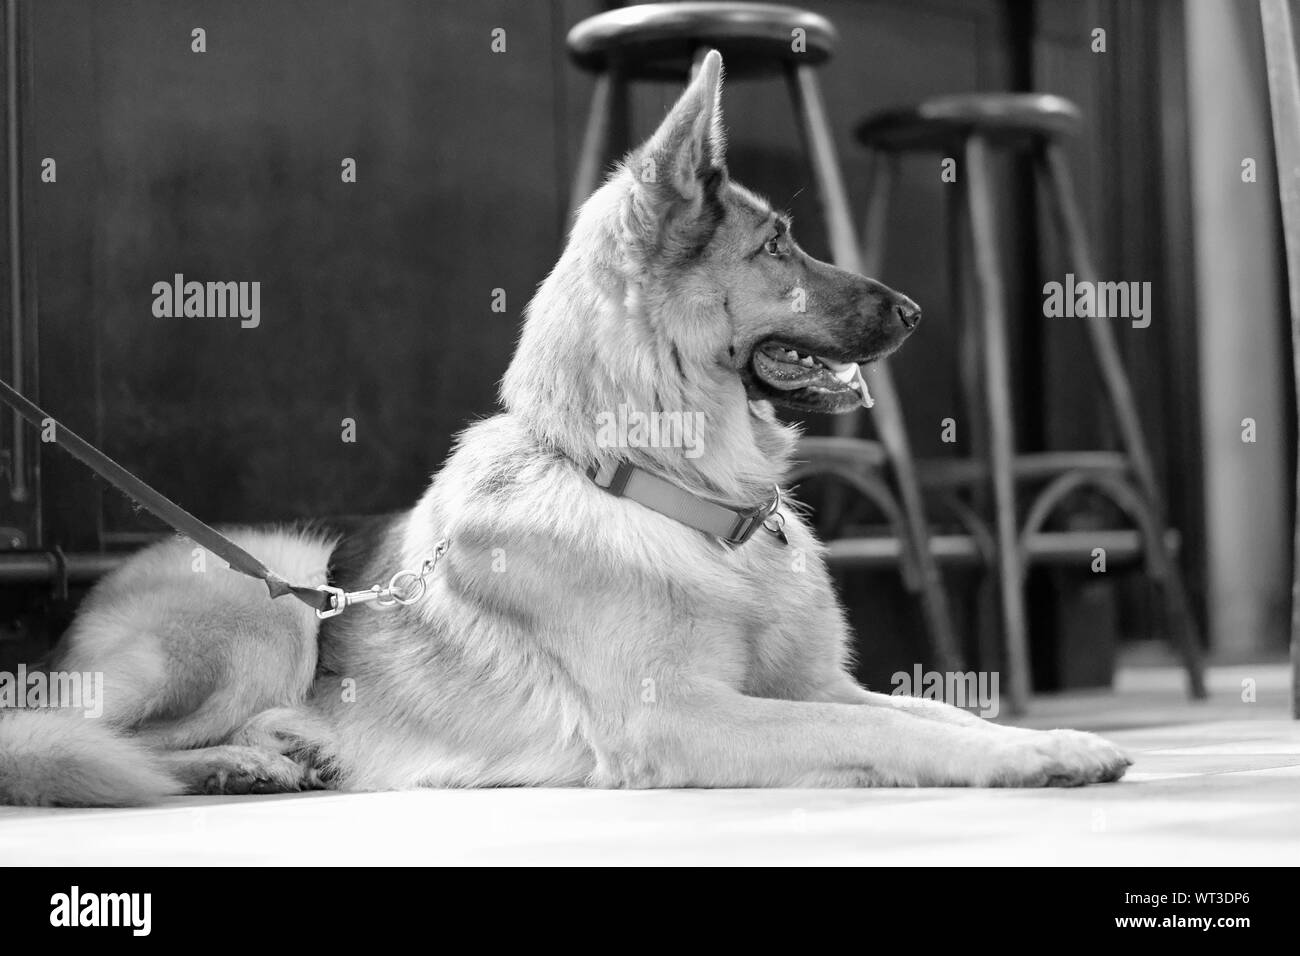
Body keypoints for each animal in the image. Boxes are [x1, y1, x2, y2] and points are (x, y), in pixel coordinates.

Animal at [0, 52, 1128, 806]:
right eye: (779, 245)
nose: (915, 312)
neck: (667, 488)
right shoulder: (685, 716)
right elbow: (905, 736)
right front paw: (1024, 759)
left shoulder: (820, 682)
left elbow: (936, 710)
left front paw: (1052, 737)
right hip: (261, 599)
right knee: (55, 736)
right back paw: (232, 758)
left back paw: (280, 751)